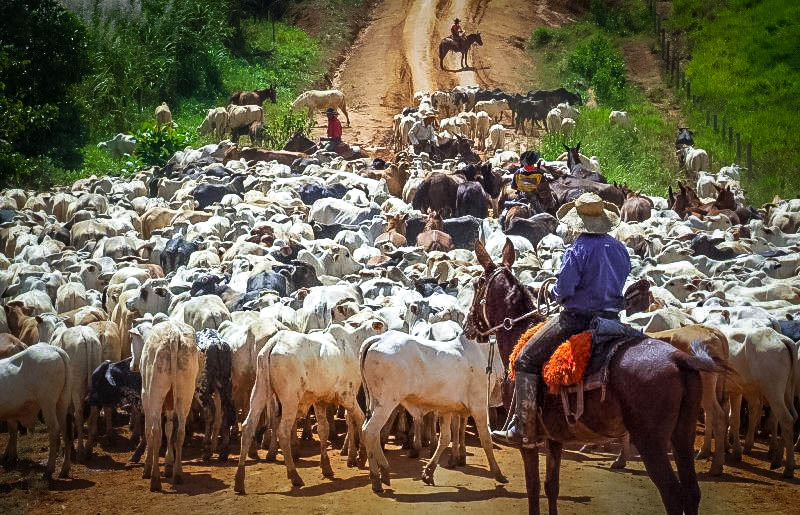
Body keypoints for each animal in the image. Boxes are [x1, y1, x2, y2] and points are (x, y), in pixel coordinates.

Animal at [360, 330, 506, 492]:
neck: (482, 350)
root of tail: (379, 338)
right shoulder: (479, 406)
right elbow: (486, 439)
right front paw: (498, 473)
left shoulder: (447, 409)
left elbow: (445, 439)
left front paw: (429, 472)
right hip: (386, 403)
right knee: (370, 431)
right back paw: (376, 478)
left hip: (375, 402)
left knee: (371, 432)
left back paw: (384, 471)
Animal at [462, 240, 720, 515]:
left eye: (477, 284)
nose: (468, 326)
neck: (519, 334)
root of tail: (679, 359)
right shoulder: (554, 437)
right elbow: (551, 486)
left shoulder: (528, 441)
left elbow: (533, 489)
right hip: (683, 434)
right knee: (692, 492)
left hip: (651, 441)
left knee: (672, 494)